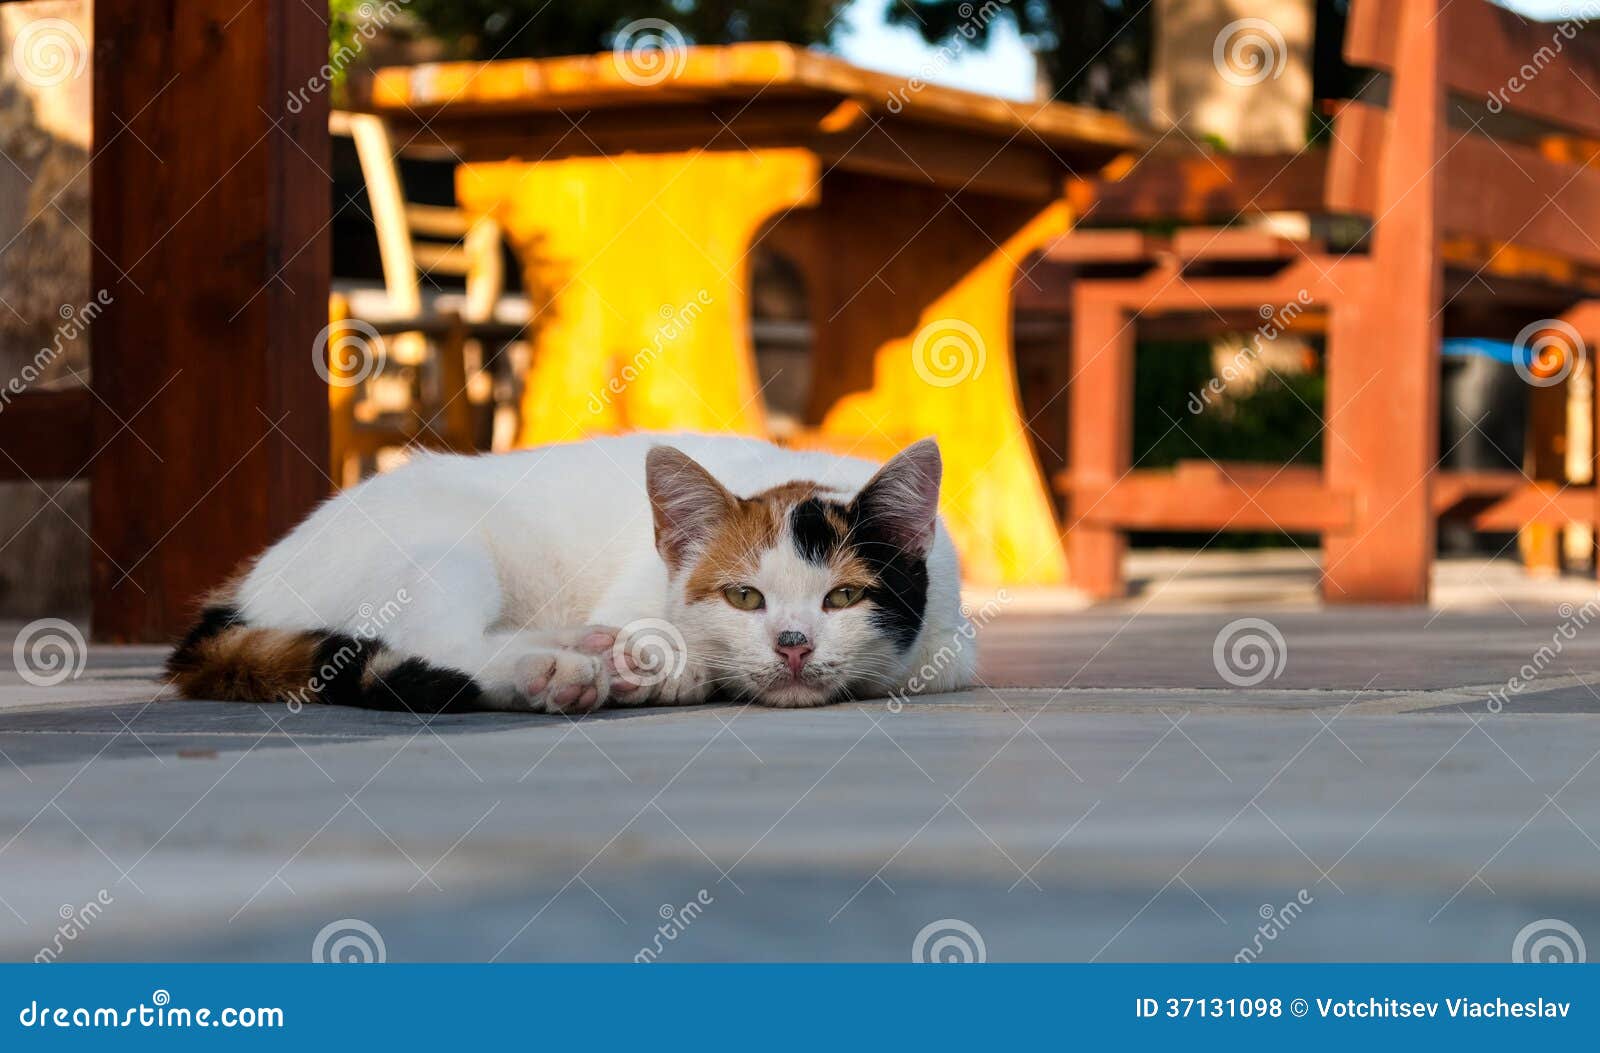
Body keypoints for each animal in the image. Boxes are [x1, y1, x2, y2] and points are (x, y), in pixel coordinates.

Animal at [172, 428, 972, 713]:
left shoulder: (952, 642)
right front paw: (663, 666)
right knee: (437, 639)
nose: (794, 644)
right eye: (746, 597)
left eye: (844, 596)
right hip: (446, 547)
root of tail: (243, 589)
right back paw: (556, 667)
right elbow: (662, 636)